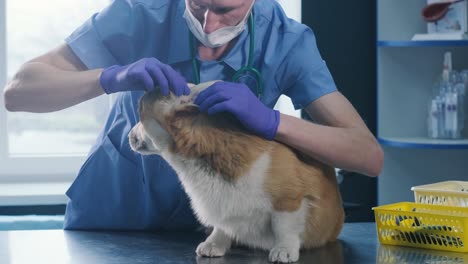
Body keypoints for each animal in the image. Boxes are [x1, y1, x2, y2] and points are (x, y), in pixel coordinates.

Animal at [128, 81, 344, 262]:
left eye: (140, 113)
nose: (128, 135)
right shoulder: (223, 207)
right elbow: (222, 227)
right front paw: (213, 244)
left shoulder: (290, 200)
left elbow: (284, 227)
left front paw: (284, 250)